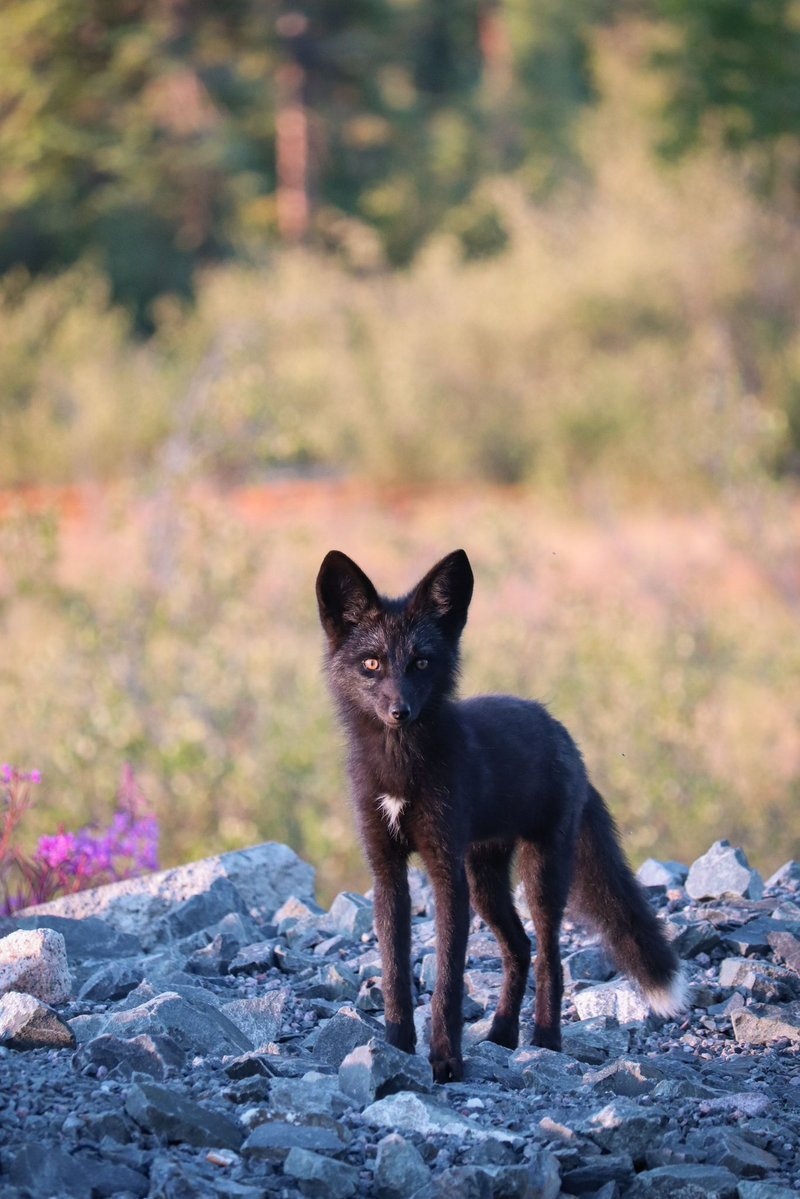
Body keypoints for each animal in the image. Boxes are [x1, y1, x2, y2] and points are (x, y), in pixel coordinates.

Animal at [316, 548, 686, 1083]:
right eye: (371, 663)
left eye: (421, 662)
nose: (399, 711)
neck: (401, 771)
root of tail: (564, 737)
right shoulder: (387, 870)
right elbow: (394, 974)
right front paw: (395, 1049)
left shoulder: (446, 869)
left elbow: (449, 981)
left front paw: (446, 1061)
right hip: (487, 879)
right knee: (520, 948)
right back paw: (502, 1035)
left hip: (540, 873)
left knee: (550, 956)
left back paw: (546, 1040)